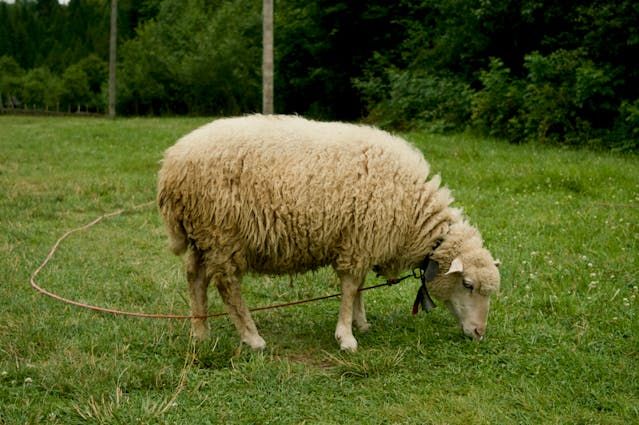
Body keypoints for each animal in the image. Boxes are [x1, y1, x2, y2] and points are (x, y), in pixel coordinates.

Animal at [158, 114, 502, 350]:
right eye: (468, 284)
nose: (479, 333)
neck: (414, 213)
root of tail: (171, 165)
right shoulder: (359, 241)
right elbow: (350, 288)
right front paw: (346, 337)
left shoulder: (361, 240)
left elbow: (359, 286)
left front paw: (360, 323)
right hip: (222, 233)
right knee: (227, 285)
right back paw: (252, 337)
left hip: (204, 236)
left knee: (195, 277)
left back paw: (200, 334)